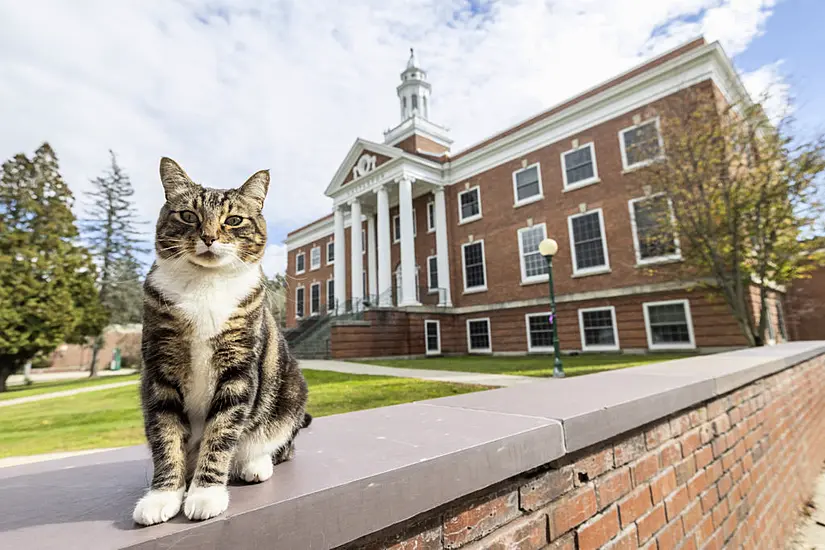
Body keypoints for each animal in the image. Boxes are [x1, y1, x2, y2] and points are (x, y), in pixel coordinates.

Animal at [132, 157, 312, 528]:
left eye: (234, 219)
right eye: (188, 215)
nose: (209, 237)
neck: (206, 284)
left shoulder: (239, 369)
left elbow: (221, 432)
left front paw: (205, 494)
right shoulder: (159, 370)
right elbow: (165, 436)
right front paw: (162, 496)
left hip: (291, 393)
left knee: (280, 445)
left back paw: (255, 464)